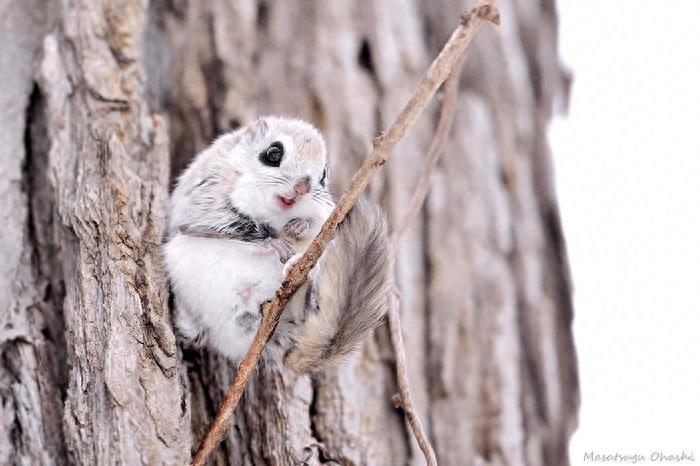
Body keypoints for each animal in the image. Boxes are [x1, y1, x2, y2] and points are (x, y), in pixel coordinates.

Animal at [165, 117, 394, 374]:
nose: (302, 187)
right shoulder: (206, 198)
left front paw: (300, 226)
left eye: (323, 176)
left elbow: (317, 225)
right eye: (273, 154)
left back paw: (298, 270)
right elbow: (228, 224)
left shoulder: (325, 214)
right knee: (196, 332)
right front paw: (275, 242)